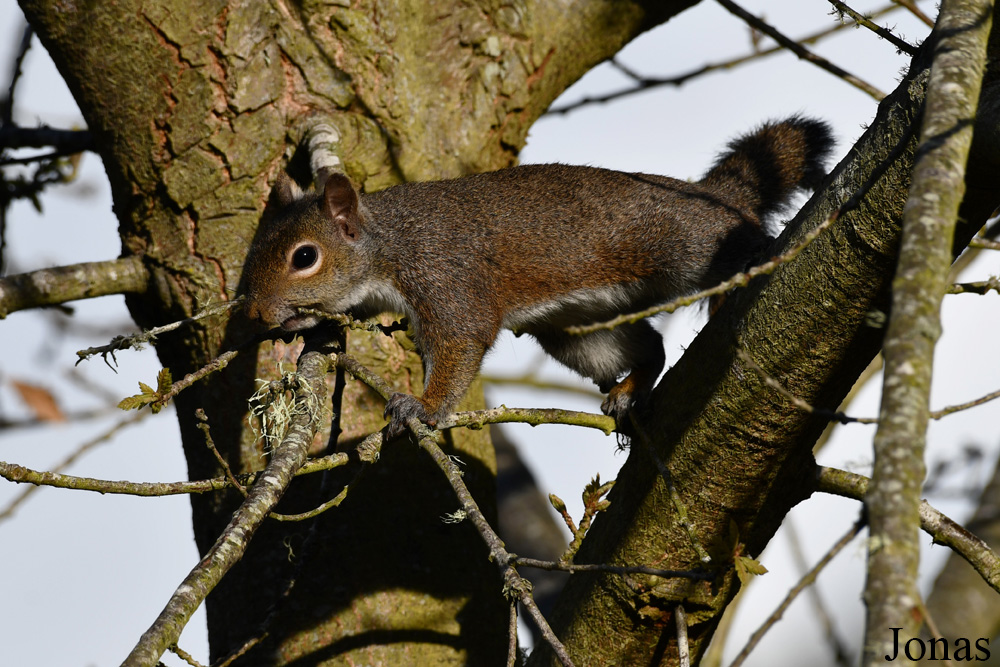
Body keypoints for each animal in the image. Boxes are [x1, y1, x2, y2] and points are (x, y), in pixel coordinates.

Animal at [238, 116, 832, 438]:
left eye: (305, 257)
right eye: (255, 249)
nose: (257, 311)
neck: (391, 244)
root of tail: (716, 197)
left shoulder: (448, 282)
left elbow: (460, 344)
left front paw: (424, 408)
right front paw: (302, 326)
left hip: (690, 248)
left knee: (736, 251)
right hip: (580, 335)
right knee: (650, 349)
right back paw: (630, 390)